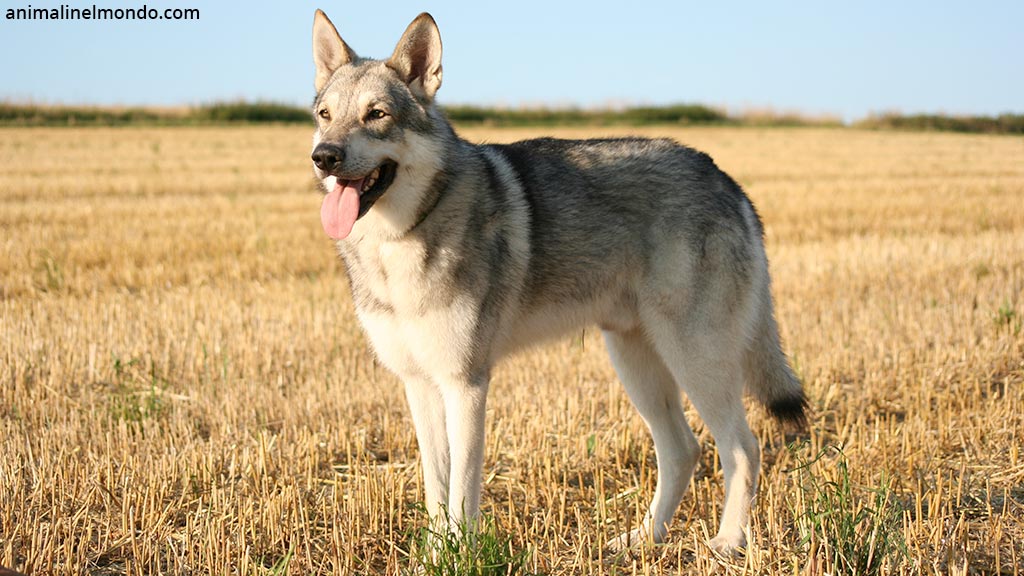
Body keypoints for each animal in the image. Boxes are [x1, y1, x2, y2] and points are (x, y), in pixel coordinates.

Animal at [309, 9, 806, 554]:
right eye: (325, 115)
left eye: (377, 115)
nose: (324, 156)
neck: (397, 239)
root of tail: (727, 180)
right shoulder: (419, 383)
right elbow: (437, 491)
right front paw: (435, 556)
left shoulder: (466, 383)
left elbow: (462, 492)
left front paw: (462, 554)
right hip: (636, 362)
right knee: (684, 451)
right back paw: (643, 539)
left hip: (695, 360)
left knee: (742, 448)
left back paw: (727, 543)